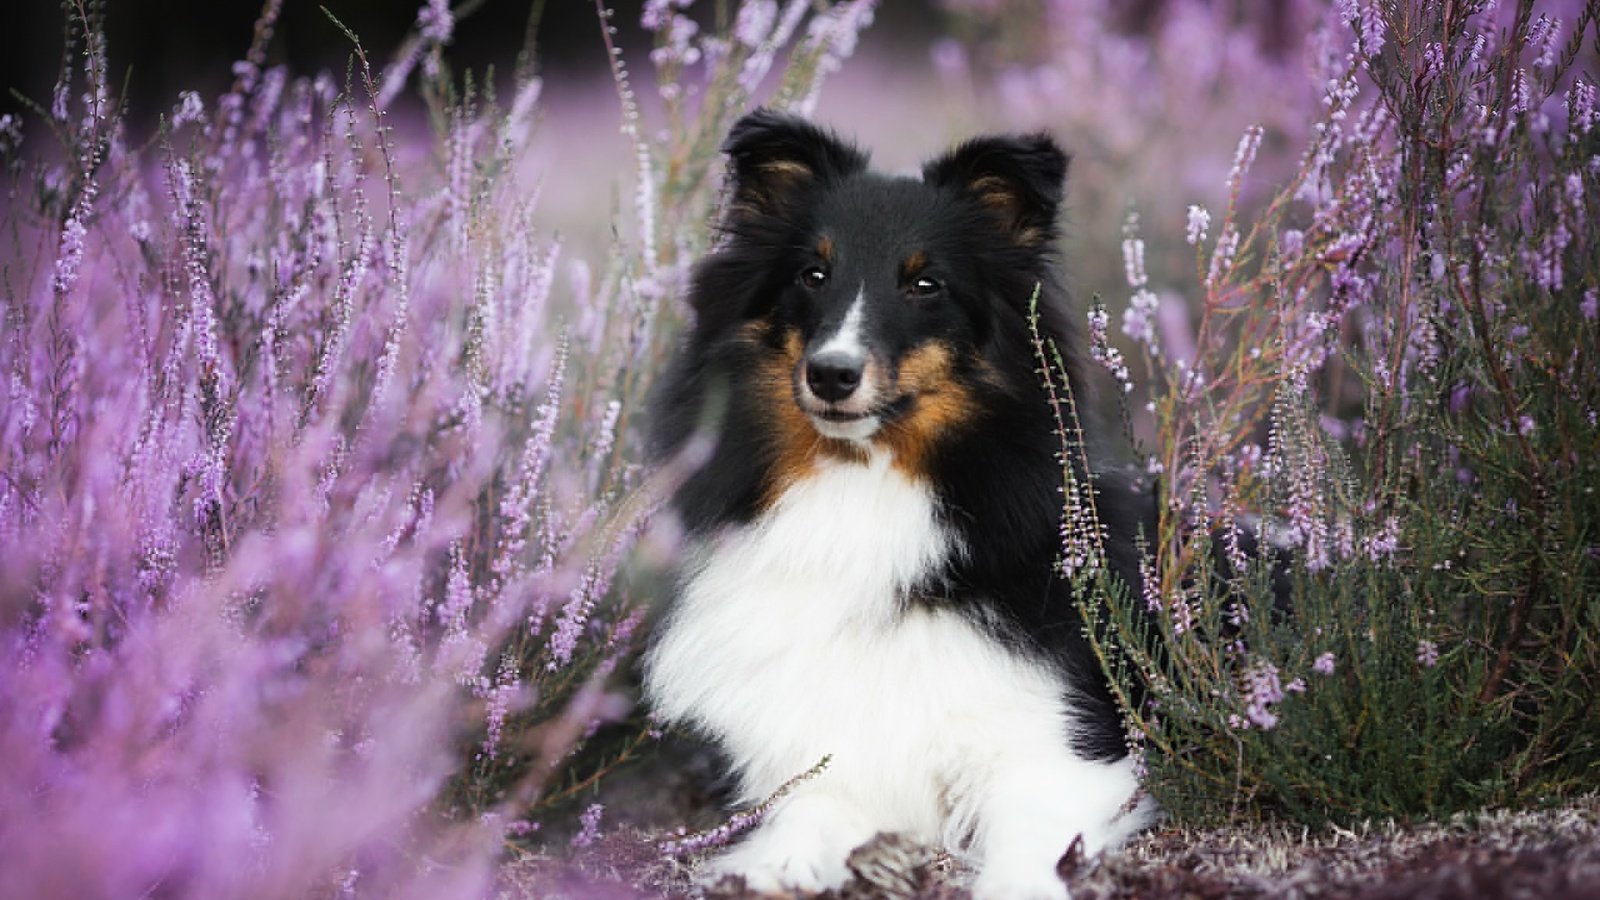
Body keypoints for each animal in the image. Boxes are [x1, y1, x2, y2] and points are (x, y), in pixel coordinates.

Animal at [643, 108, 1158, 890]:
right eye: (813, 274)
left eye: (925, 285)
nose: (830, 375)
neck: (864, 485)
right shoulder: (825, 769)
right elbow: (800, 830)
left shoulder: (1058, 757)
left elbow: (1022, 851)